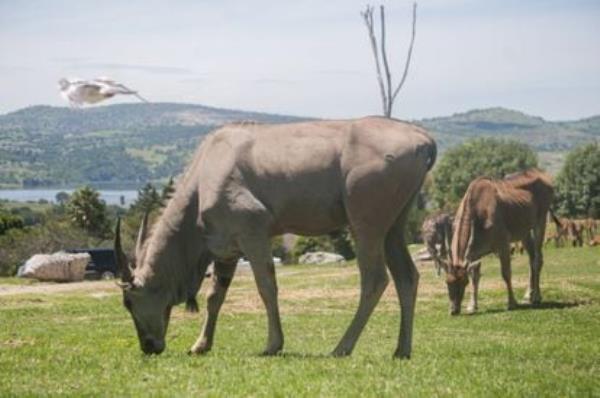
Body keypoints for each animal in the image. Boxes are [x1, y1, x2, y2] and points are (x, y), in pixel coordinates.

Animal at [113, 116, 436, 360]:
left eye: (128, 302)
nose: (149, 346)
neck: (205, 173)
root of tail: (423, 139)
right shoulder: (227, 250)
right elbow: (215, 296)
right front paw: (200, 345)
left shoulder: (253, 233)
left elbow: (267, 287)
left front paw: (273, 345)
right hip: (394, 227)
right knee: (407, 276)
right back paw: (401, 350)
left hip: (366, 226)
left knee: (375, 279)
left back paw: (342, 347)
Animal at [440, 169, 556, 316]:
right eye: (447, 281)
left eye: (463, 282)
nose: (454, 310)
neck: (478, 211)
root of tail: (542, 174)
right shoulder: (475, 253)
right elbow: (475, 276)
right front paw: (472, 306)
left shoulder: (503, 245)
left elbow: (506, 273)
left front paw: (511, 303)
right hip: (524, 232)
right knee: (532, 257)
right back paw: (528, 295)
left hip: (540, 223)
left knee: (538, 259)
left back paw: (536, 297)